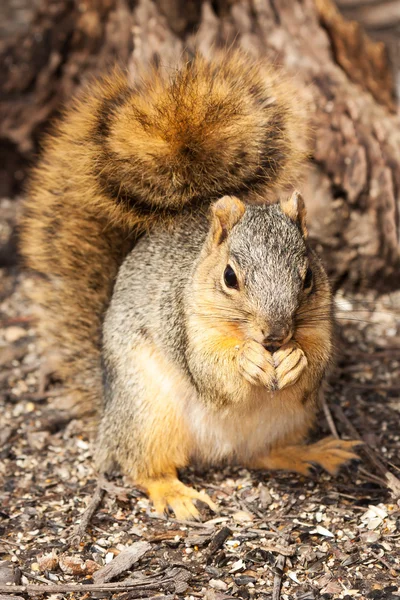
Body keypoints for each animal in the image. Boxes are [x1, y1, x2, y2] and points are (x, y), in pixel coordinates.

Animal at [21, 52, 360, 520]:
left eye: (308, 276)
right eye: (230, 277)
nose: (275, 336)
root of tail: (108, 414)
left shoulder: (321, 321)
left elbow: (319, 358)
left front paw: (295, 359)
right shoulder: (184, 323)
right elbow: (209, 369)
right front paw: (247, 361)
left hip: (290, 420)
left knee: (259, 454)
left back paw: (312, 452)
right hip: (148, 413)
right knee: (141, 466)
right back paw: (175, 493)